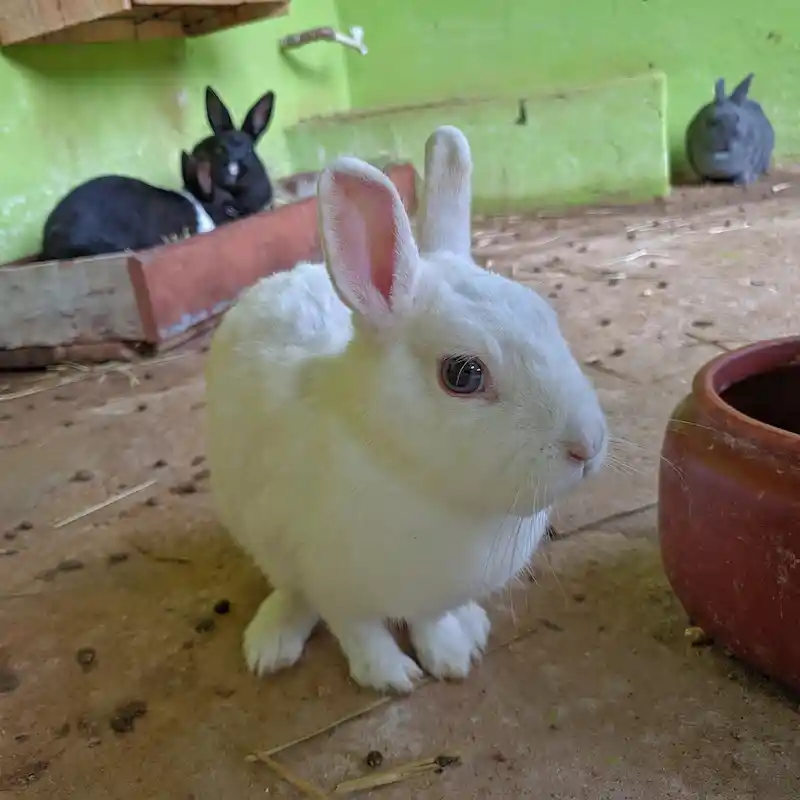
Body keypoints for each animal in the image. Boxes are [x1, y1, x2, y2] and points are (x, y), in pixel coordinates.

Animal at [205, 125, 609, 695]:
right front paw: (392, 677)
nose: (587, 446)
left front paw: (452, 655)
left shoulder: (429, 594)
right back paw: (272, 645)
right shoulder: (334, 583)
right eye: (463, 375)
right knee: (291, 591)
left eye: (546, 316)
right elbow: (358, 631)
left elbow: (429, 620)